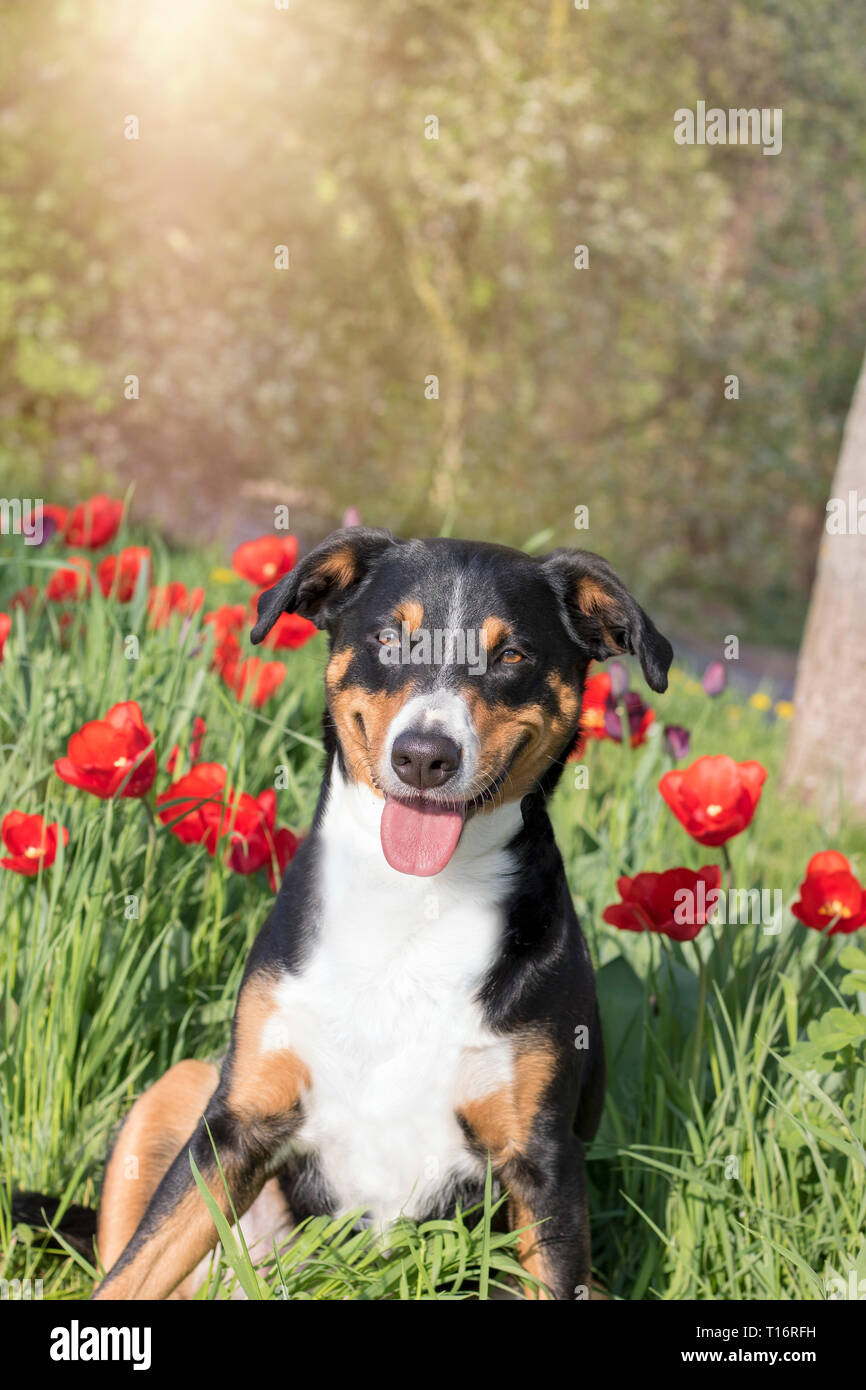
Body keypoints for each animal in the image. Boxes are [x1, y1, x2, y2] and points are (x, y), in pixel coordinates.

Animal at [16, 525, 675, 1295]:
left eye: (511, 655)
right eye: (389, 639)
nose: (425, 756)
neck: (412, 902)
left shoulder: (544, 1163)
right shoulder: (237, 1125)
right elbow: (131, 1273)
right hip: (179, 1092)